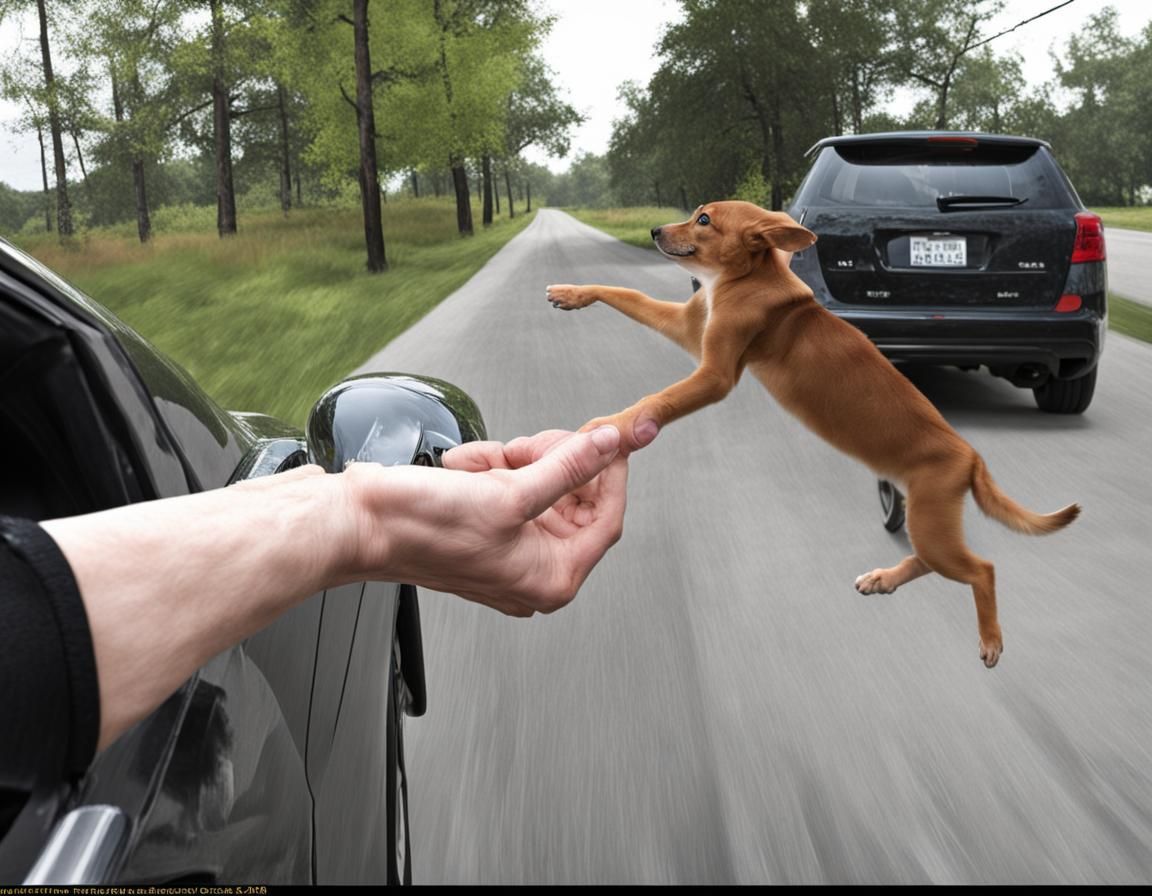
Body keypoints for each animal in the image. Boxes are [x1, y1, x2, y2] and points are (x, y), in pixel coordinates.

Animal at [548, 200, 1078, 663]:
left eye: (704, 219)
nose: (656, 230)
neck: (745, 279)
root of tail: (971, 456)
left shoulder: (715, 375)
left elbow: (656, 400)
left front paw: (606, 426)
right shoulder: (688, 329)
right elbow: (629, 296)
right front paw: (572, 294)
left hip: (933, 523)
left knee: (982, 569)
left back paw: (990, 641)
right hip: (928, 519)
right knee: (931, 560)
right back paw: (883, 580)